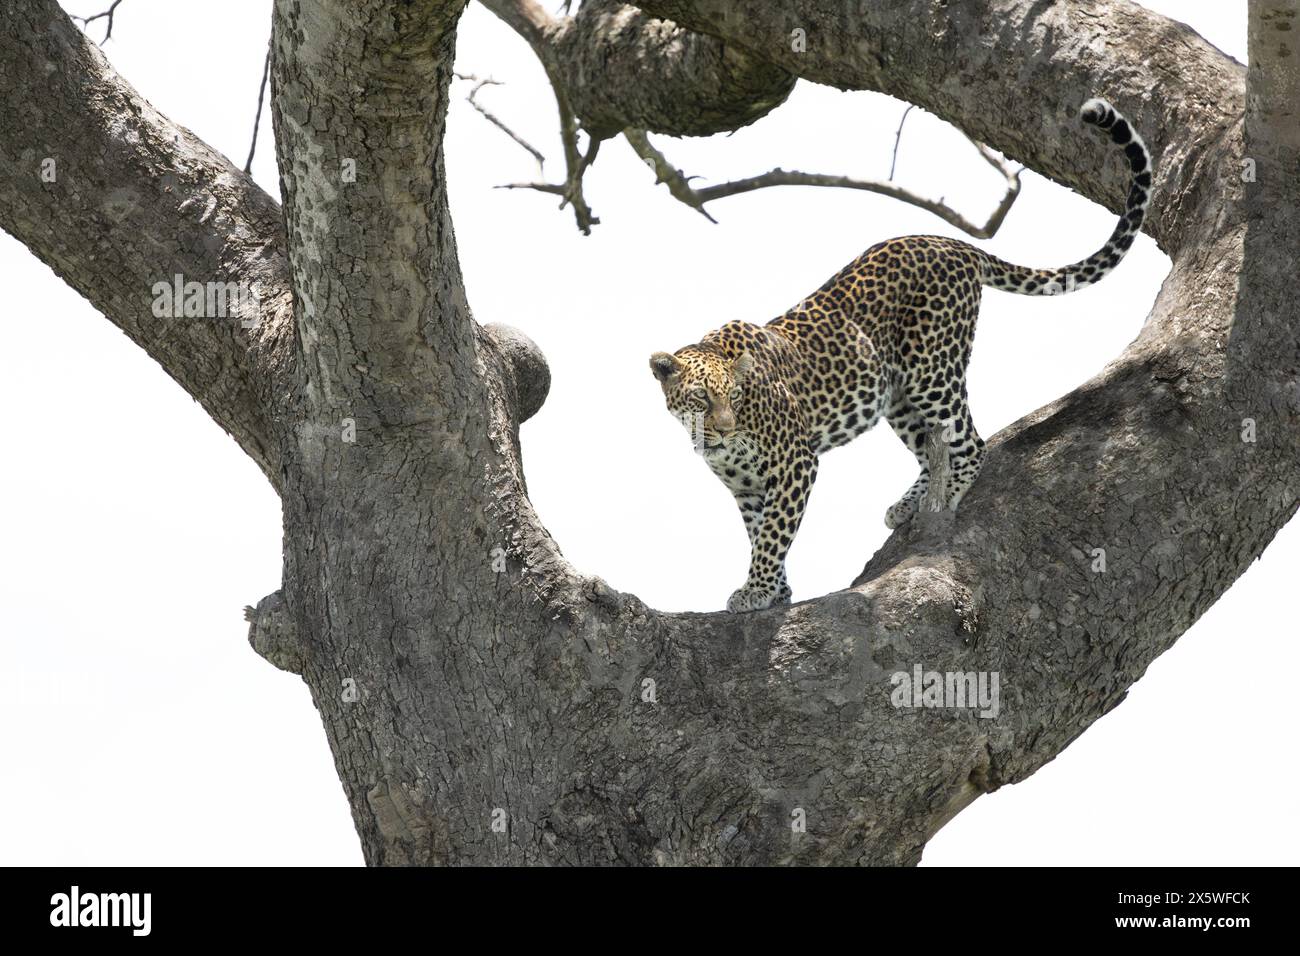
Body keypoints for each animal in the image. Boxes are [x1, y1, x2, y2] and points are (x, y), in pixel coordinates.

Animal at [650, 98, 1152, 613]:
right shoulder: (746, 487)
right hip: (896, 395)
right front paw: (775, 590)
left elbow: (774, 533)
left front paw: (758, 589)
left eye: (735, 396)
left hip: (931, 369)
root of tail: (956, 244)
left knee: (970, 441)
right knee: (931, 449)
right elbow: (761, 531)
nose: (724, 429)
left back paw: (947, 496)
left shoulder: (795, 462)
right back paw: (910, 503)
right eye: (702, 397)